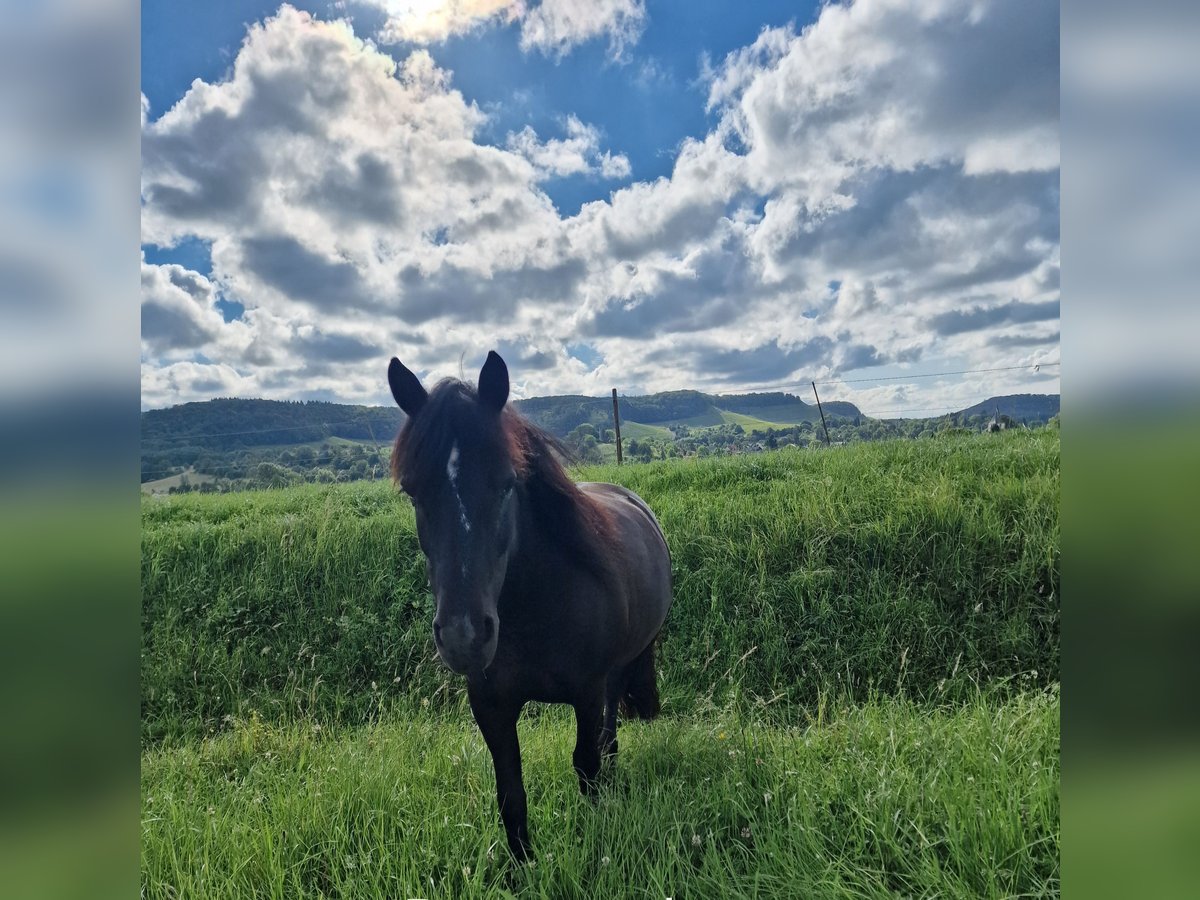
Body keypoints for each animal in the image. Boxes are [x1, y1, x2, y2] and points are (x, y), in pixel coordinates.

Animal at [387, 350, 673, 860]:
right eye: (413, 492)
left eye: (506, 484)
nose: (464, 637)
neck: (537, 607)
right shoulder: (490, 705)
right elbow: (511, 795)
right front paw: (522, 866)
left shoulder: (586, 692)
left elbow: (586, 766)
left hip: (620, 667)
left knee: (610, 727)